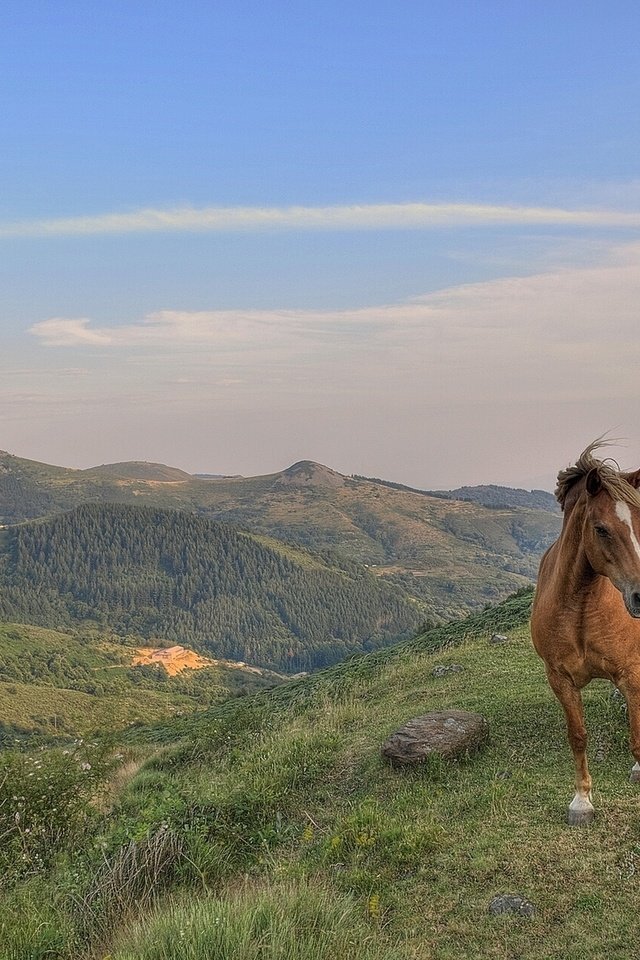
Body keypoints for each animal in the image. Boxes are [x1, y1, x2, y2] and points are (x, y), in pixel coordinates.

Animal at [532, 442, 640, 824]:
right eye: (601, 529)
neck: (580, 608)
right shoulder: (560, 678)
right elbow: (577, 736)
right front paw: (582, 801)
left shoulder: (630, 674)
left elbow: (637, 738)